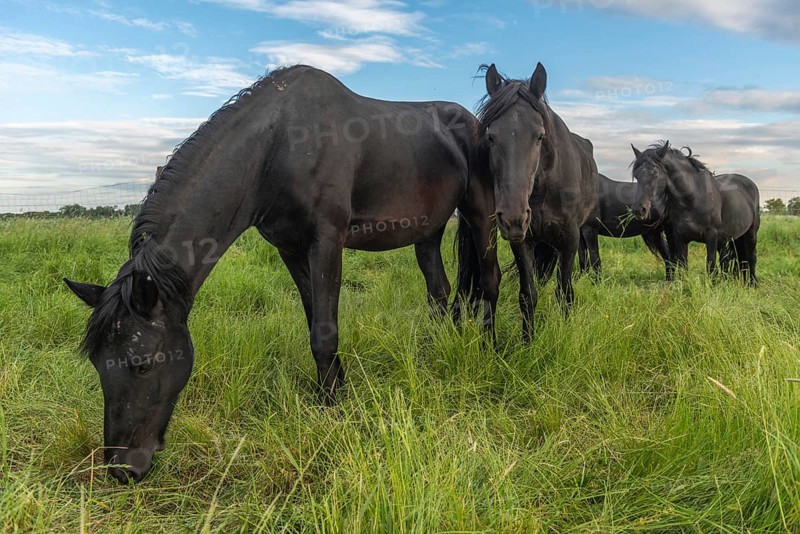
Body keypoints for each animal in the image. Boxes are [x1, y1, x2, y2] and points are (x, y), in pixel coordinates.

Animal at [63, 65, 522, 483]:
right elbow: (313, 320)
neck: (278, 146)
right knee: (439, 294)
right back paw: (434, 354)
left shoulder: (326, 242)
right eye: (97, 363)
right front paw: (334, 389)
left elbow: (324, 332)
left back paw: (491, 349)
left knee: (490, 281)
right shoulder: (289, 249)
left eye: (141, 364)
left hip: (481, 214)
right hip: (427, 232)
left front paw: (332, 406)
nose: (123, 469)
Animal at [456, 62, 599, 343]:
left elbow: (564, 290)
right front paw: (528, 341)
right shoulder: (523, 241)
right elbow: (527, 294)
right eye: (491, 136)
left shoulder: (570, 237)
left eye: (540, 136)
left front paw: (565, 331)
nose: (513, 217)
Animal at [630, 142, 760, 285]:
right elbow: (683, 265)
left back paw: (752, 284)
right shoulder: (679, 237)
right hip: (728, 238)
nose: (638, 209)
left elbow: (711, 265)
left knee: (751, 257)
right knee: (728, 260)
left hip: (751, 233)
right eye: (636, 175)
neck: (693, 198)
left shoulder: (711, 236)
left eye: (655, 172)